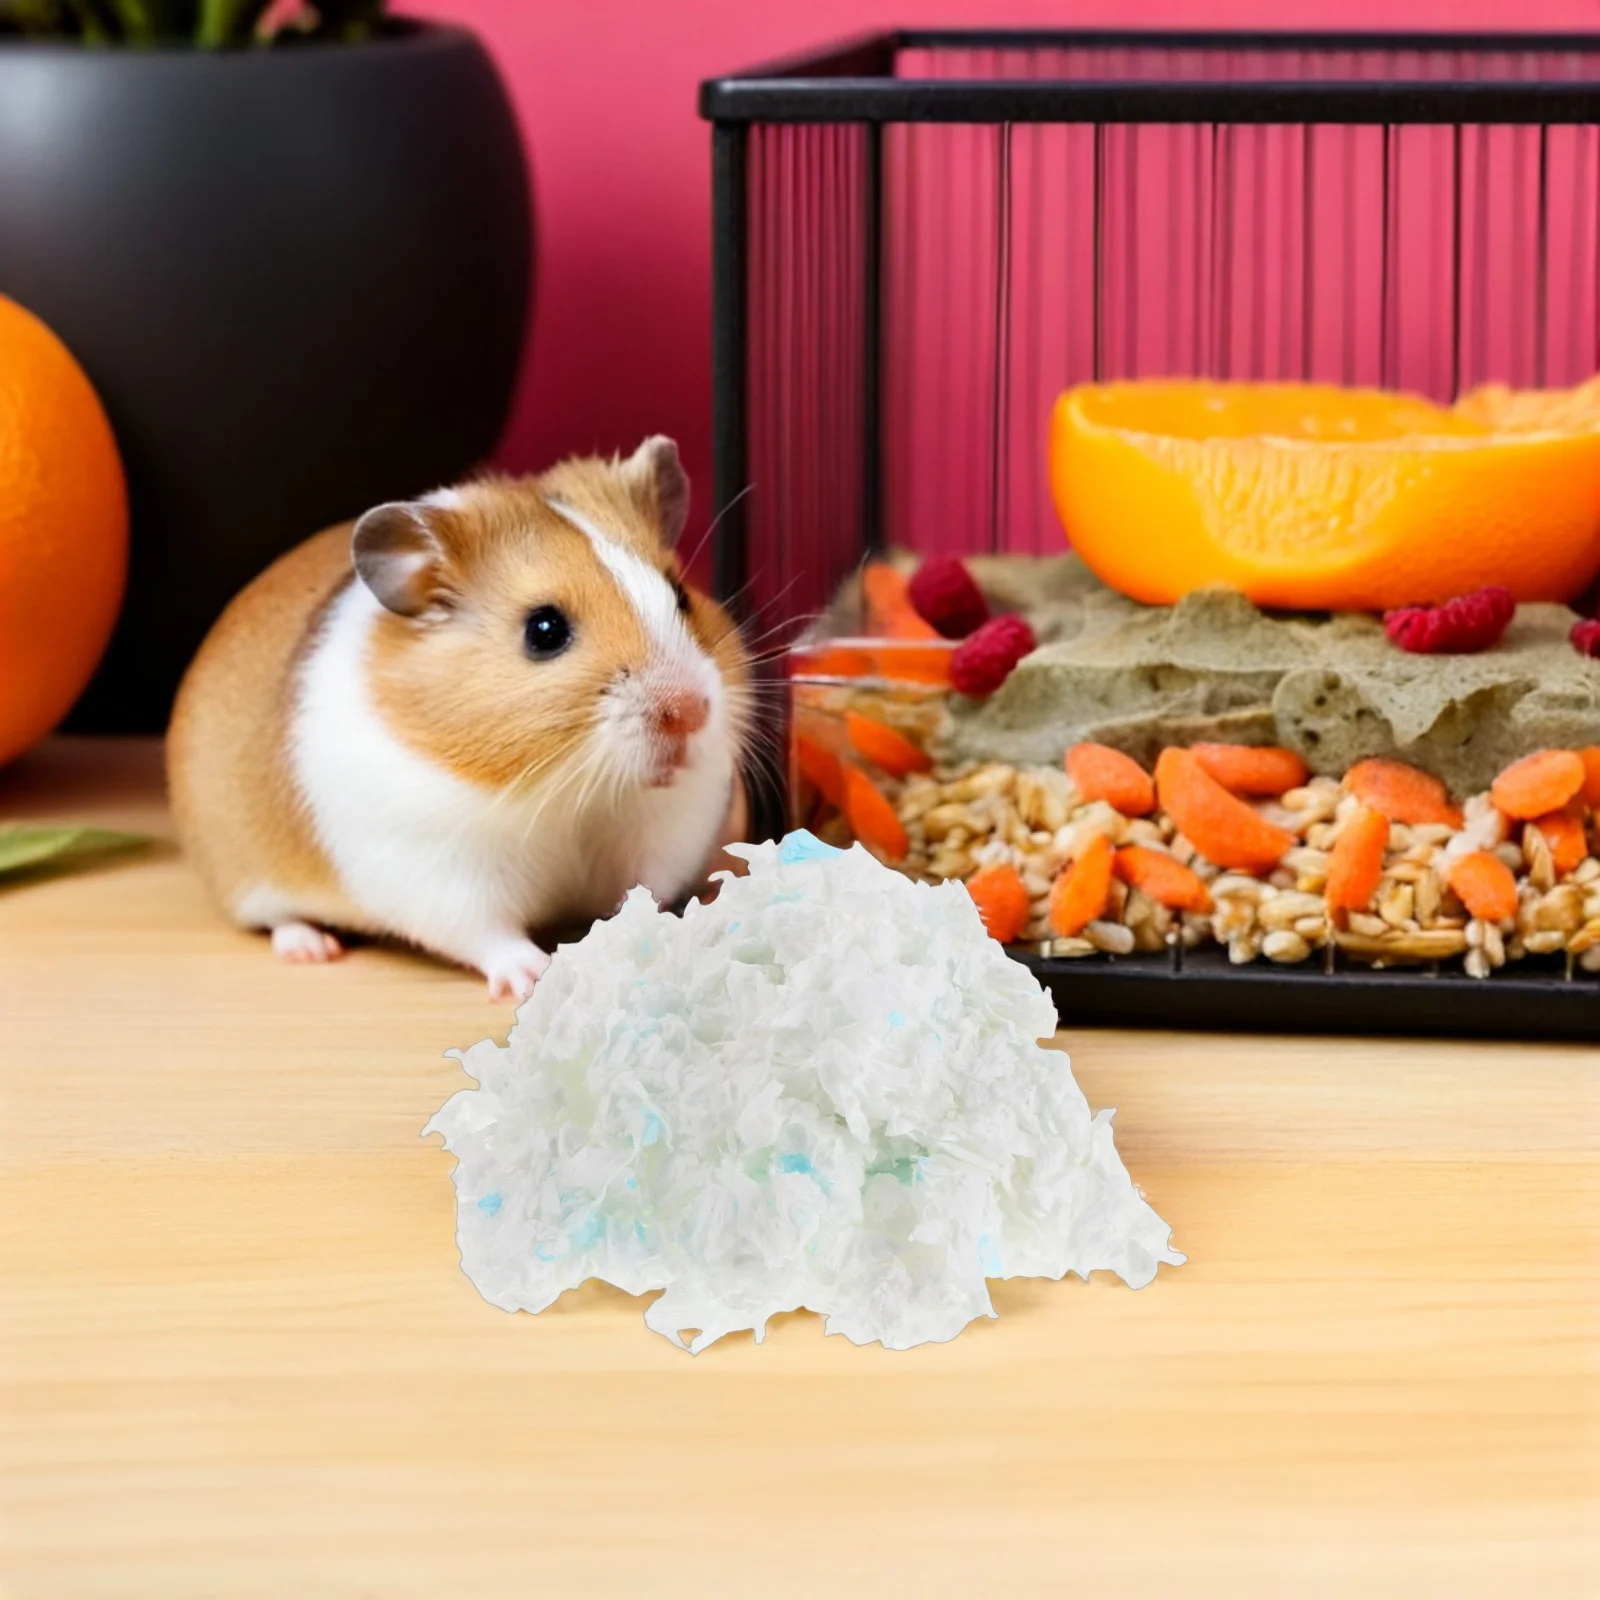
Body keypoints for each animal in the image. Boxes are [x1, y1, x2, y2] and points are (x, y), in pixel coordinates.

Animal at [167, 436, 752, 1001]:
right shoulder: (441, 870)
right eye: (543, 630)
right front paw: (532, 978)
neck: (570, 793)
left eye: (680, 595)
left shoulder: (664, 831)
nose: (691, 712)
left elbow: (645, 892)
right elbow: (489, 934)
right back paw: (313, 948)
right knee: (279, 921)